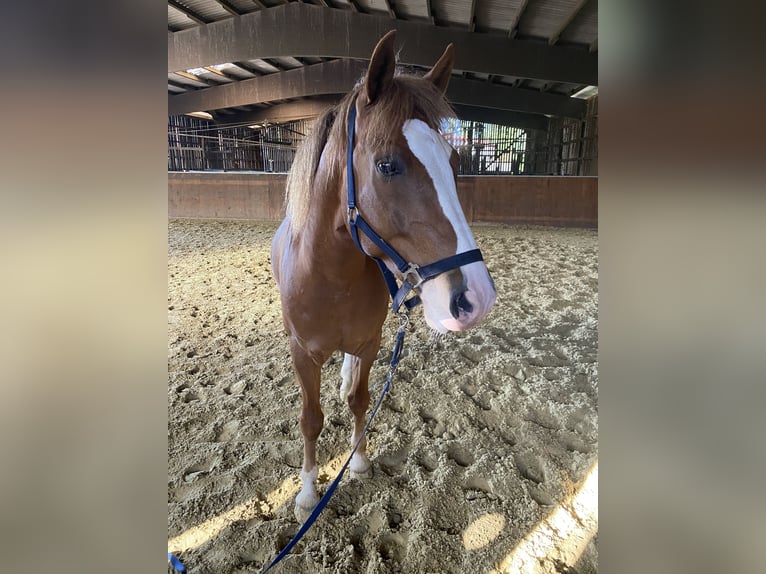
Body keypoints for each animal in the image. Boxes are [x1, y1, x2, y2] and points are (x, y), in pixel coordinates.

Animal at [272, 29, 500, 520]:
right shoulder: (303, 354)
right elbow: (310, 419)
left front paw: (357, 461)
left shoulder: (372, 341)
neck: (332, 278)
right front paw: (307, 493)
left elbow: (360, 399)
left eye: (455, 162)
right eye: (387, 165)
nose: (476, 297)